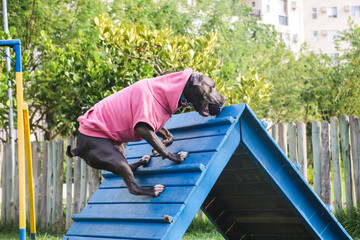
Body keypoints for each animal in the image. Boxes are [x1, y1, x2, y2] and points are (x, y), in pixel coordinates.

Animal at [66, 68, 226, 197]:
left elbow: (169, 137)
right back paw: (153, 190)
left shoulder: (155, 123)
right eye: (212, 86)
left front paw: (156, 149)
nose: (224, 99)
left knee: (130, 167)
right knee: (132, 187)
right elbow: (163, 148)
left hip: (117, 150)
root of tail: (78, 147)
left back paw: (143, 161)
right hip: (111, 156)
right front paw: (176, 157)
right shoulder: (143, 126)